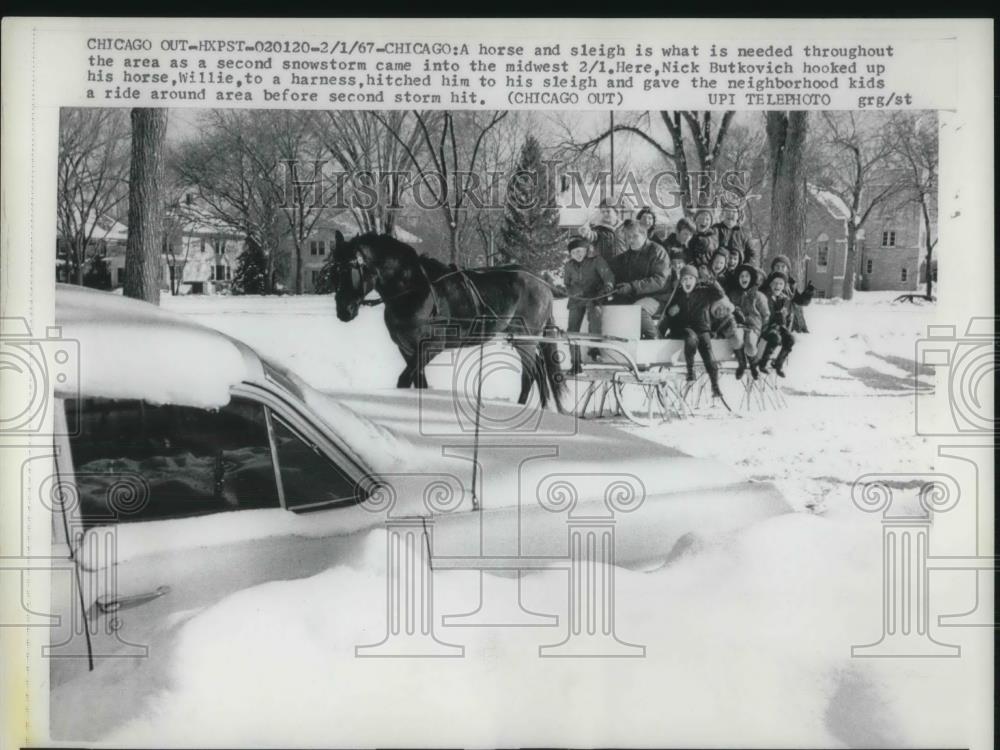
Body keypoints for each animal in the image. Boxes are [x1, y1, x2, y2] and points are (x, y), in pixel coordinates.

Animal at [328, 234, 564, 412]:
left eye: (352, 269)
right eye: (334, 270)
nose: (344, 310)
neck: (413, 290)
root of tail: (541, 282)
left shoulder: (431, 347)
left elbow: (404, 381)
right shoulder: (407, 349)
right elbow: (419, 383)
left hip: (526, 339)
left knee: (529, 374)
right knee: (539, 371)